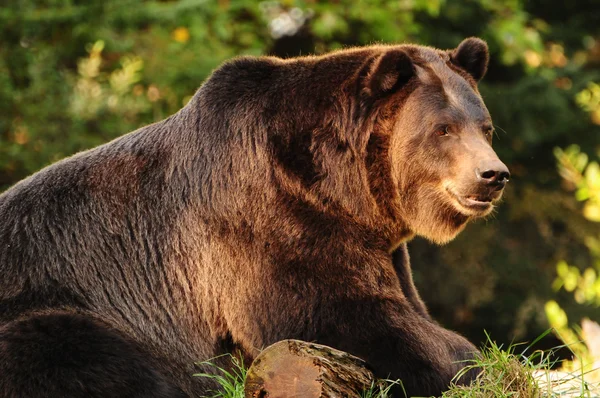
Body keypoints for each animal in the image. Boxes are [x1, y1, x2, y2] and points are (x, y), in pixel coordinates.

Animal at [0, 38, 508, 398]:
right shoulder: (262, 217)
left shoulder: (377, 243)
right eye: (443, 129)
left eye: (484, 127)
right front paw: (473, 363)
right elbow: (333, 313)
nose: (493, 175)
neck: (344, 191)